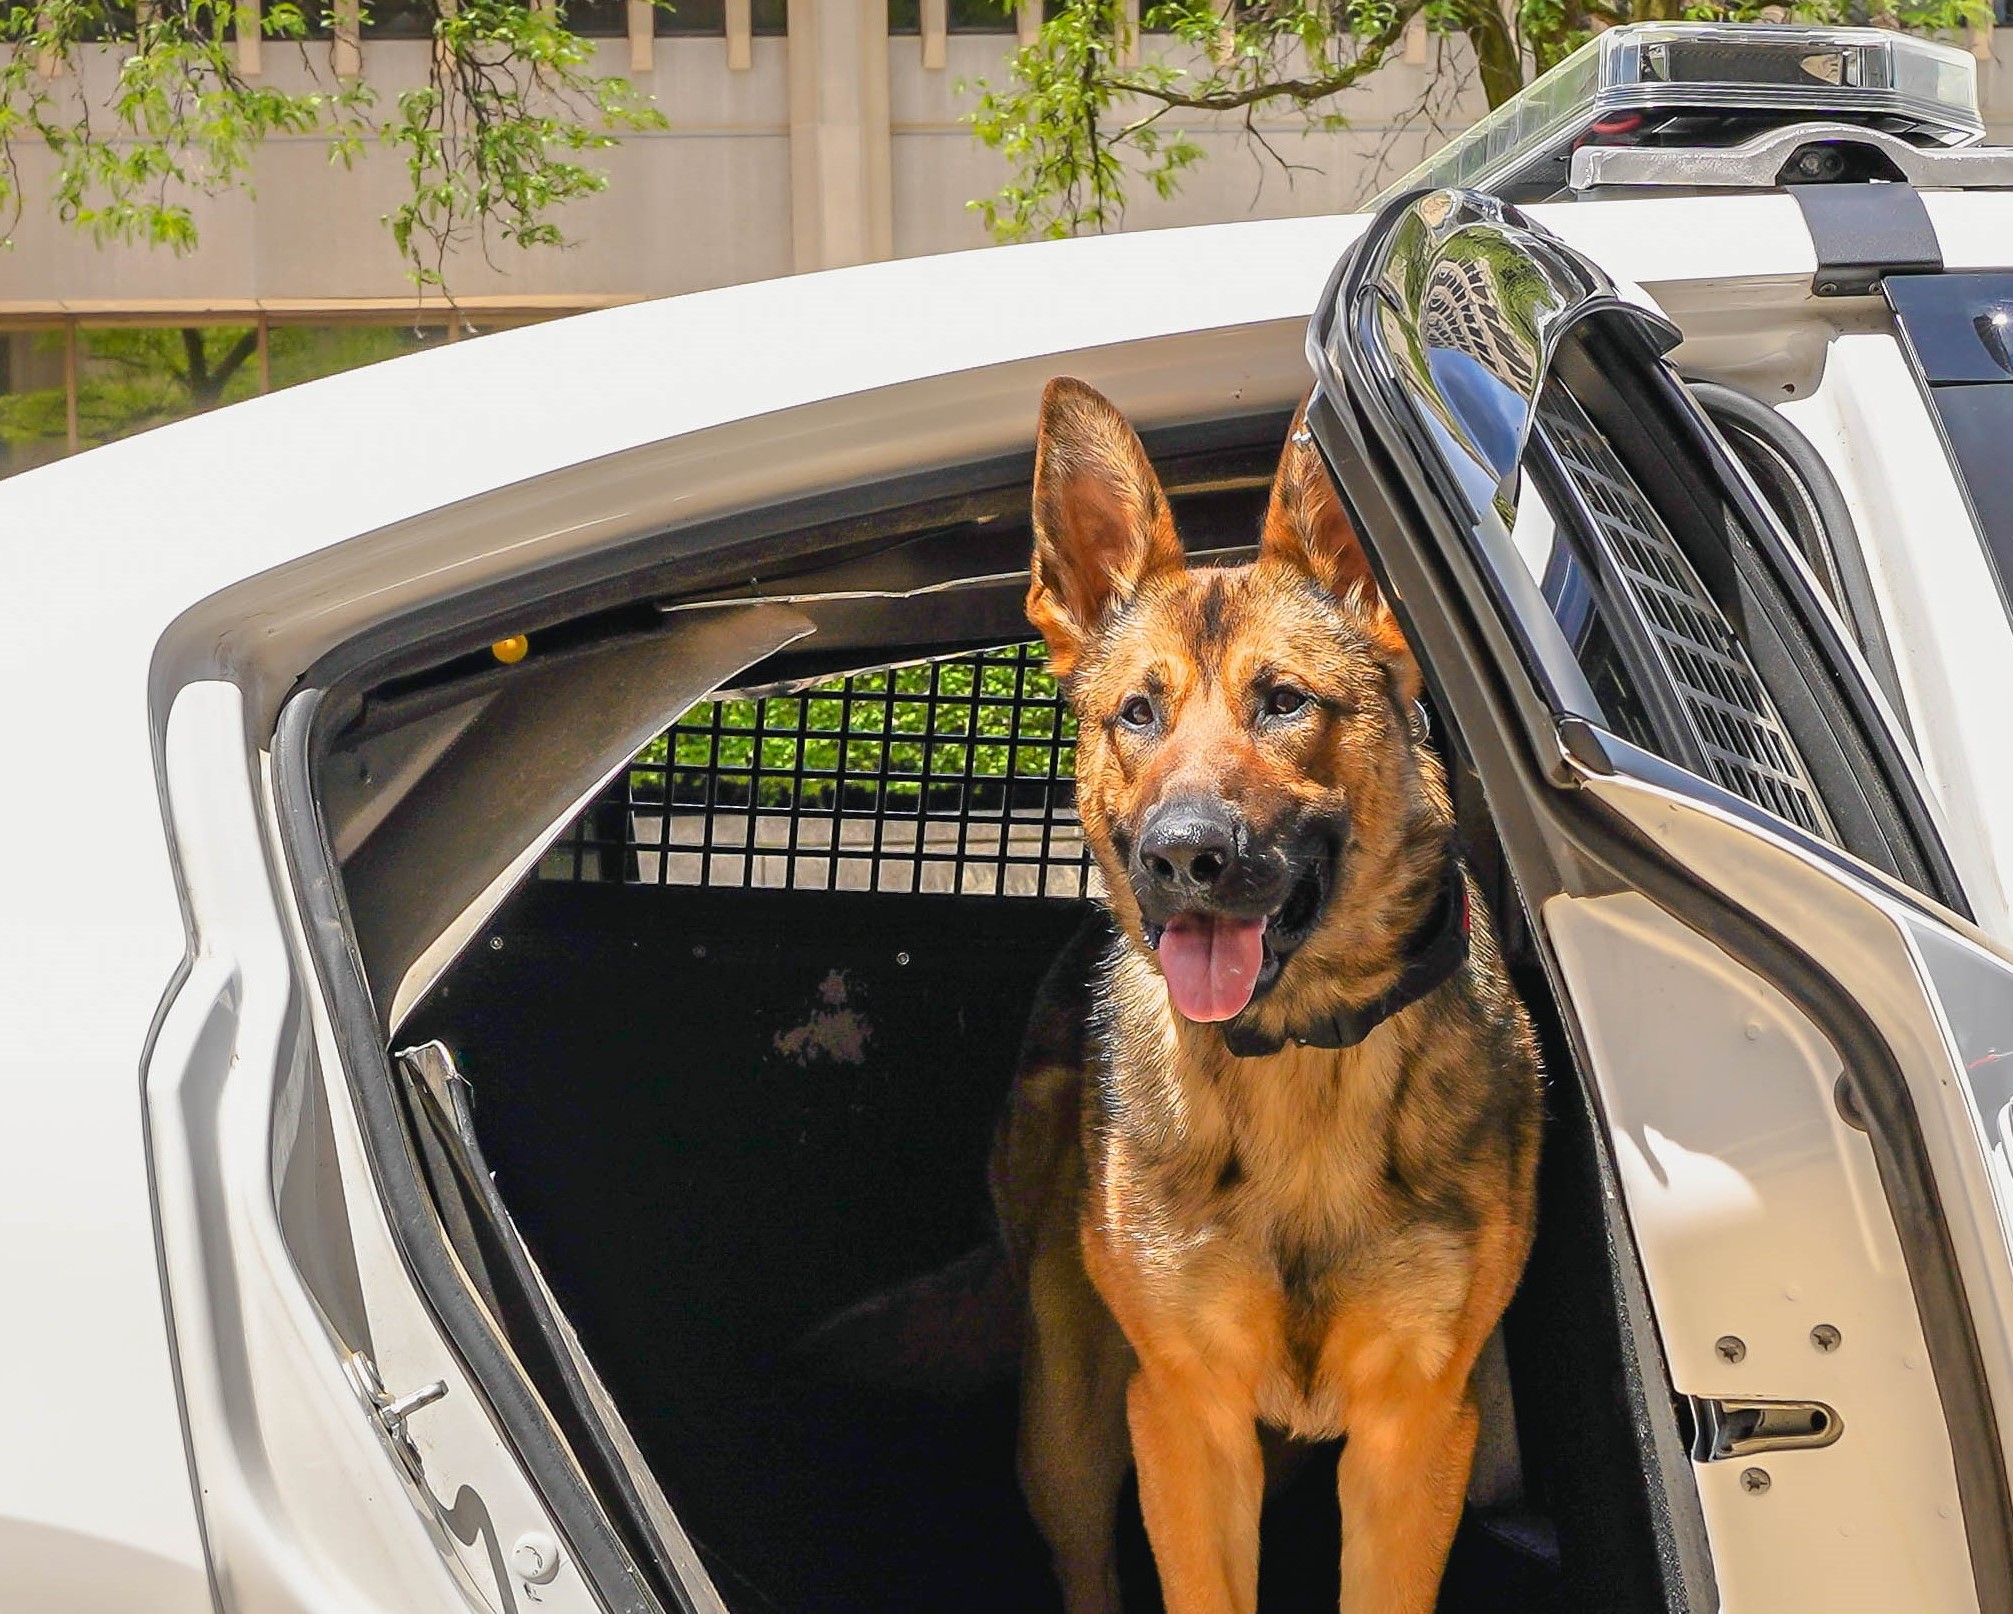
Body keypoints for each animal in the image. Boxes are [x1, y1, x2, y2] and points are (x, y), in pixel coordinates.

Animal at [994, 380, 1537, 1609]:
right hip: (1068, 1423)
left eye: (1284, 702)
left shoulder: (1414, 1433)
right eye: (1137, 714)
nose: (1183, 857)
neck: (1299, 1057)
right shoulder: (1185, 1421)